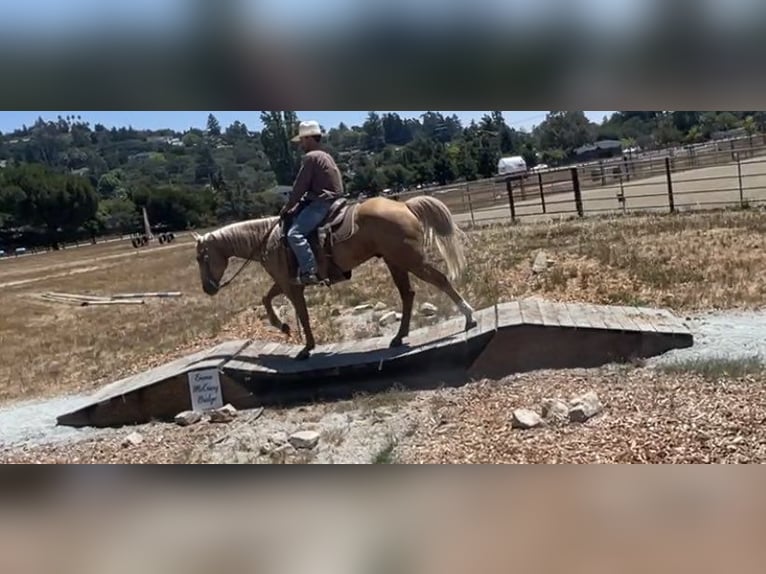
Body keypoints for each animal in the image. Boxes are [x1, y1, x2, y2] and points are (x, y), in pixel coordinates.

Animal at [194, 196, 474, 362]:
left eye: (201, 257)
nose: (207, 288)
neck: (266, 239)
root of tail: (404, 205)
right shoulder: (285, 282)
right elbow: (266, 298)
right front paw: (283, 327)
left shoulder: (290, 285)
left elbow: (302, 314)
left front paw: (305, 347)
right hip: (395, 262)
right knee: (408, 294)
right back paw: (398, 337)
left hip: (411, 260)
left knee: (440, 280)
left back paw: (469, 317)